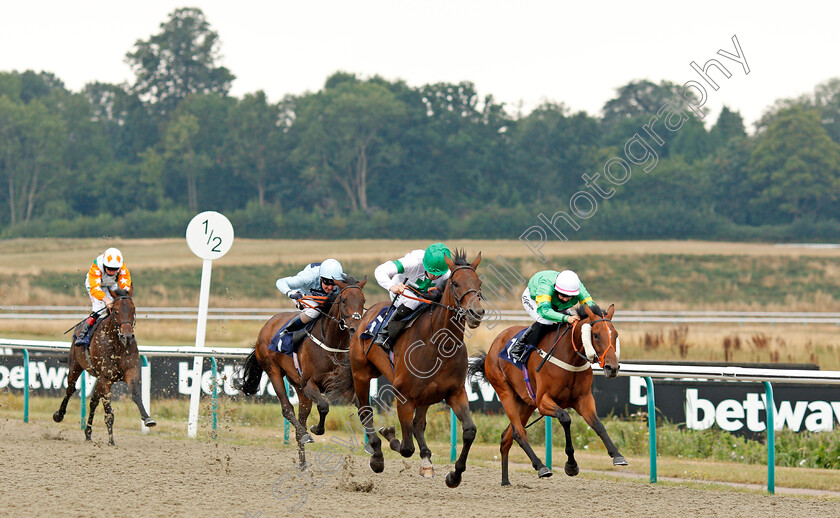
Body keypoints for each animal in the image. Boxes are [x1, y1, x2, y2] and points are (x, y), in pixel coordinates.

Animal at [53, 288, 155, 446]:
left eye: (133, 310)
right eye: (116, 311)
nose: (127, 336)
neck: (117, 345)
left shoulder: (130, 371)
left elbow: (136, 395)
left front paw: (147, 418)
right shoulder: (105, 378)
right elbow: (108, 411)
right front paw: (111, 440)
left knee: (93, 402)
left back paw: (88, 433)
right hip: (75, 365)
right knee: (70, 389)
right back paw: (59, 415)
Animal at [238, 278, 366, 470]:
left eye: (363, 301)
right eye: (344, 301)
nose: (354, 328)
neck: (330, 343)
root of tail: (267, 324)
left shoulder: (340, 385)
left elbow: (363, 408)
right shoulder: (309, 384)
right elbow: (324, 406)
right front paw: (316, 429)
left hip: (298, 387)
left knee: (301, 417)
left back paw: (303, 462)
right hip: (274, 371)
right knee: (287, 409)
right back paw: (304, 435)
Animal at [330, 250, 486, 490]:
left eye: (479, 283)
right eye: (456, 283)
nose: (475, 312)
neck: (438, 344)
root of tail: (365, 316)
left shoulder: (455, 392)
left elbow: (469, 431)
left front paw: (454, 475)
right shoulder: (403, 396)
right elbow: (405, 447)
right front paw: (387, 436)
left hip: (425, 395)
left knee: (418, 424)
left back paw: (426, 461)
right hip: (362, 375)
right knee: (365, 412)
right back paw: (377, 454)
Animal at [470, 304, 628, 488]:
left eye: (615, 334)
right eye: (595, 334)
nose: (612, 368)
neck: (570, 358)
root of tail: (494, 345)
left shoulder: (584, 400)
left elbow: (598, 425)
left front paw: (617, 455)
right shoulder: (543, 402)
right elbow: (565, 418)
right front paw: (571, 465)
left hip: (526, 403)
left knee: (506, 437)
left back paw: (505, 481)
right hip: (505, 392)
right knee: (518, 433)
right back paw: (541, 467)